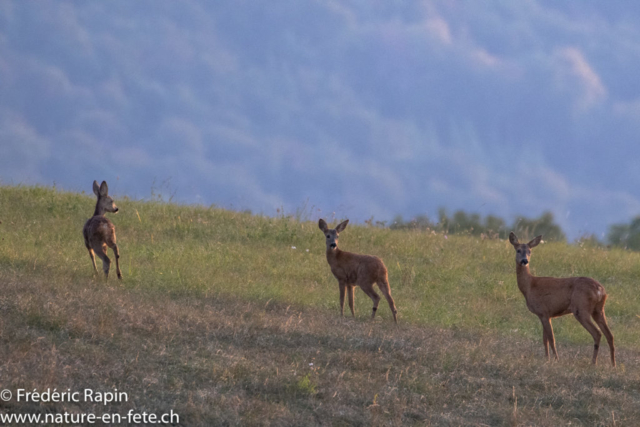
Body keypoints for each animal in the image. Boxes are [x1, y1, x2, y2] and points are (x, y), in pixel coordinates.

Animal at [510, 232, 616, 366]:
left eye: (529, 251)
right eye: (518, 250)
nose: (525, 260)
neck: (530, 285)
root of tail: (600, 290)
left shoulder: (543, 311)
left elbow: (551, 338)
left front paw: (556, 359)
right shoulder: (545, 314)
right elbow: (545, 339)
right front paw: (547, 359)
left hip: (581, 309)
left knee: (597, 333)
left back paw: (593, 363)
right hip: (598, 310)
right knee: (610, 335)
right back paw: (613, 364)